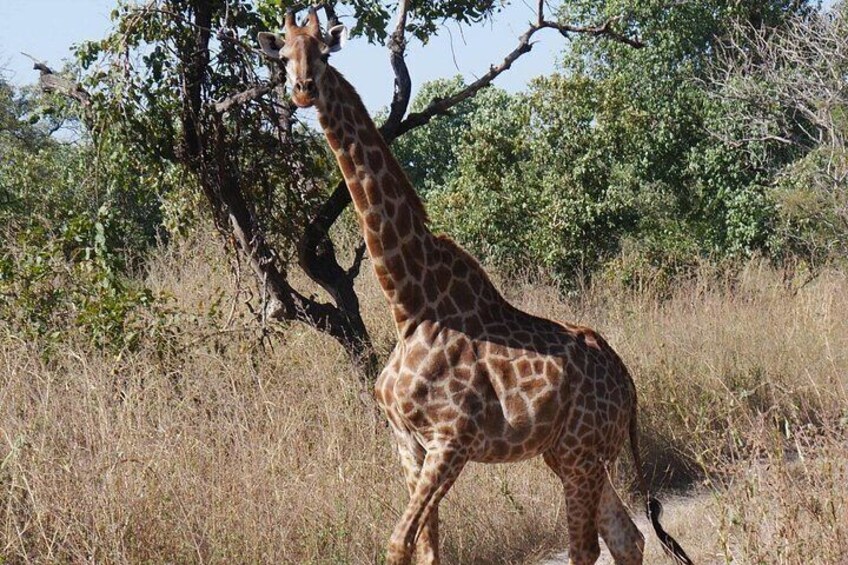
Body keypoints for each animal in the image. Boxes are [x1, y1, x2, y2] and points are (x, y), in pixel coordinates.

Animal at [258, 10, 693, 565]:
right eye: (283, 55)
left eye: (322, 52)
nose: (302, 90)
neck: (410, 304)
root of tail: (630, 387)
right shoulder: (408, 441)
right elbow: (426, 548)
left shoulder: (453, 439)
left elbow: (399, 543)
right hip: (568, 452)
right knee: (627, 535)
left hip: (581, 453)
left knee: (588, 547)